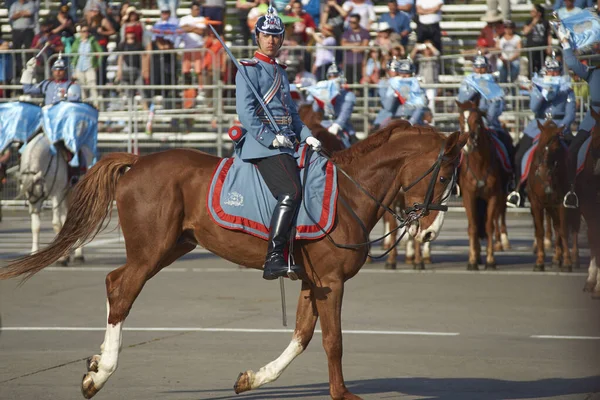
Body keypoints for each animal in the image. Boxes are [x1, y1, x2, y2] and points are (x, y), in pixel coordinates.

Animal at [18, 134, 85, 264]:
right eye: (28, 195)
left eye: (38, 191)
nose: (33, 210)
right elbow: (35, 226)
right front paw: (34, 253)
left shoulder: (57, 195)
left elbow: (56, 224)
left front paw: (62, 258)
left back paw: (79, 255)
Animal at [460, 100, 510, 270]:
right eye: (460, 120)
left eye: (477, 121)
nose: (467, 144)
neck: (479, 164)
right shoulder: (469, 196)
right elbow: (473, 226)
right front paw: (472, 260)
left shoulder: (493, 196)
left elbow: (489, 226)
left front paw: (490, 260)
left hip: (501, 195)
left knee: (499, 215)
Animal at [528, 119, 580, 272]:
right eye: (540, 145)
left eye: (556, 148)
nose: (543, 172)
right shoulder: (537, 203)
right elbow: (540, 231)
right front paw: (540, 261)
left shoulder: (562, 203)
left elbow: (564, 230)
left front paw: (567, 262)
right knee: (556, 226)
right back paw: (557, 257)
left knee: (573, 227)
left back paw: (574, 258)